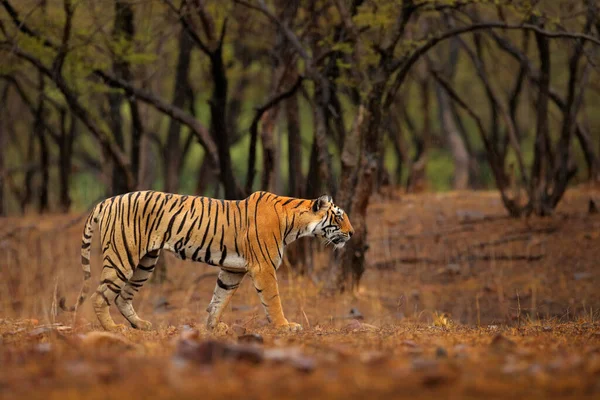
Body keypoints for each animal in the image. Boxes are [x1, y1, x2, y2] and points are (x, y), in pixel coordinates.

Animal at [59, 191, 354, 332]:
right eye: (339, 216)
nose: (352, 233)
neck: (294, 223)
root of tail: (107, 200)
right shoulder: (264, 268)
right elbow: (273, 300)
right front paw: (285, 326)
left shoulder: (232, 269)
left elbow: (218, 299)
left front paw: (213, 327)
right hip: (123, 256)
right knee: (100, 295)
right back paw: (113, 328)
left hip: (145, 261)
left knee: (123, 296)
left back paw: (141, 325)